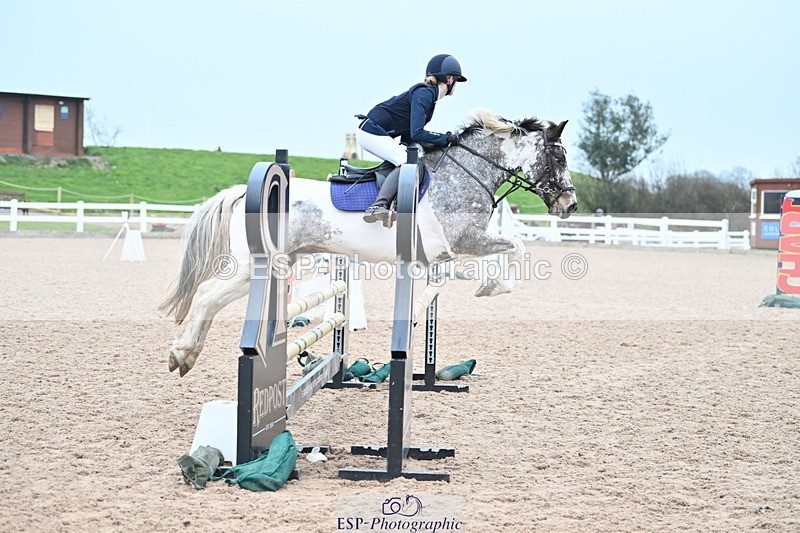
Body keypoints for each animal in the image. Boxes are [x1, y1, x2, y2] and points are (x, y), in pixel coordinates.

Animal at [161, 109, 577, 376]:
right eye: (558, 157)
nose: (570, 205)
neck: (465, 173)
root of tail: (244, 192)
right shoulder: (467, 239)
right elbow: (516, 247)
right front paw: (492, 287)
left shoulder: (455, 248)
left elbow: (510, 249)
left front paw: (486, 286)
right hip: (251, 265)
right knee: (206, 295)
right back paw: (181, 353)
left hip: (271, 267)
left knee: (213, 300)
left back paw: (185, 355)